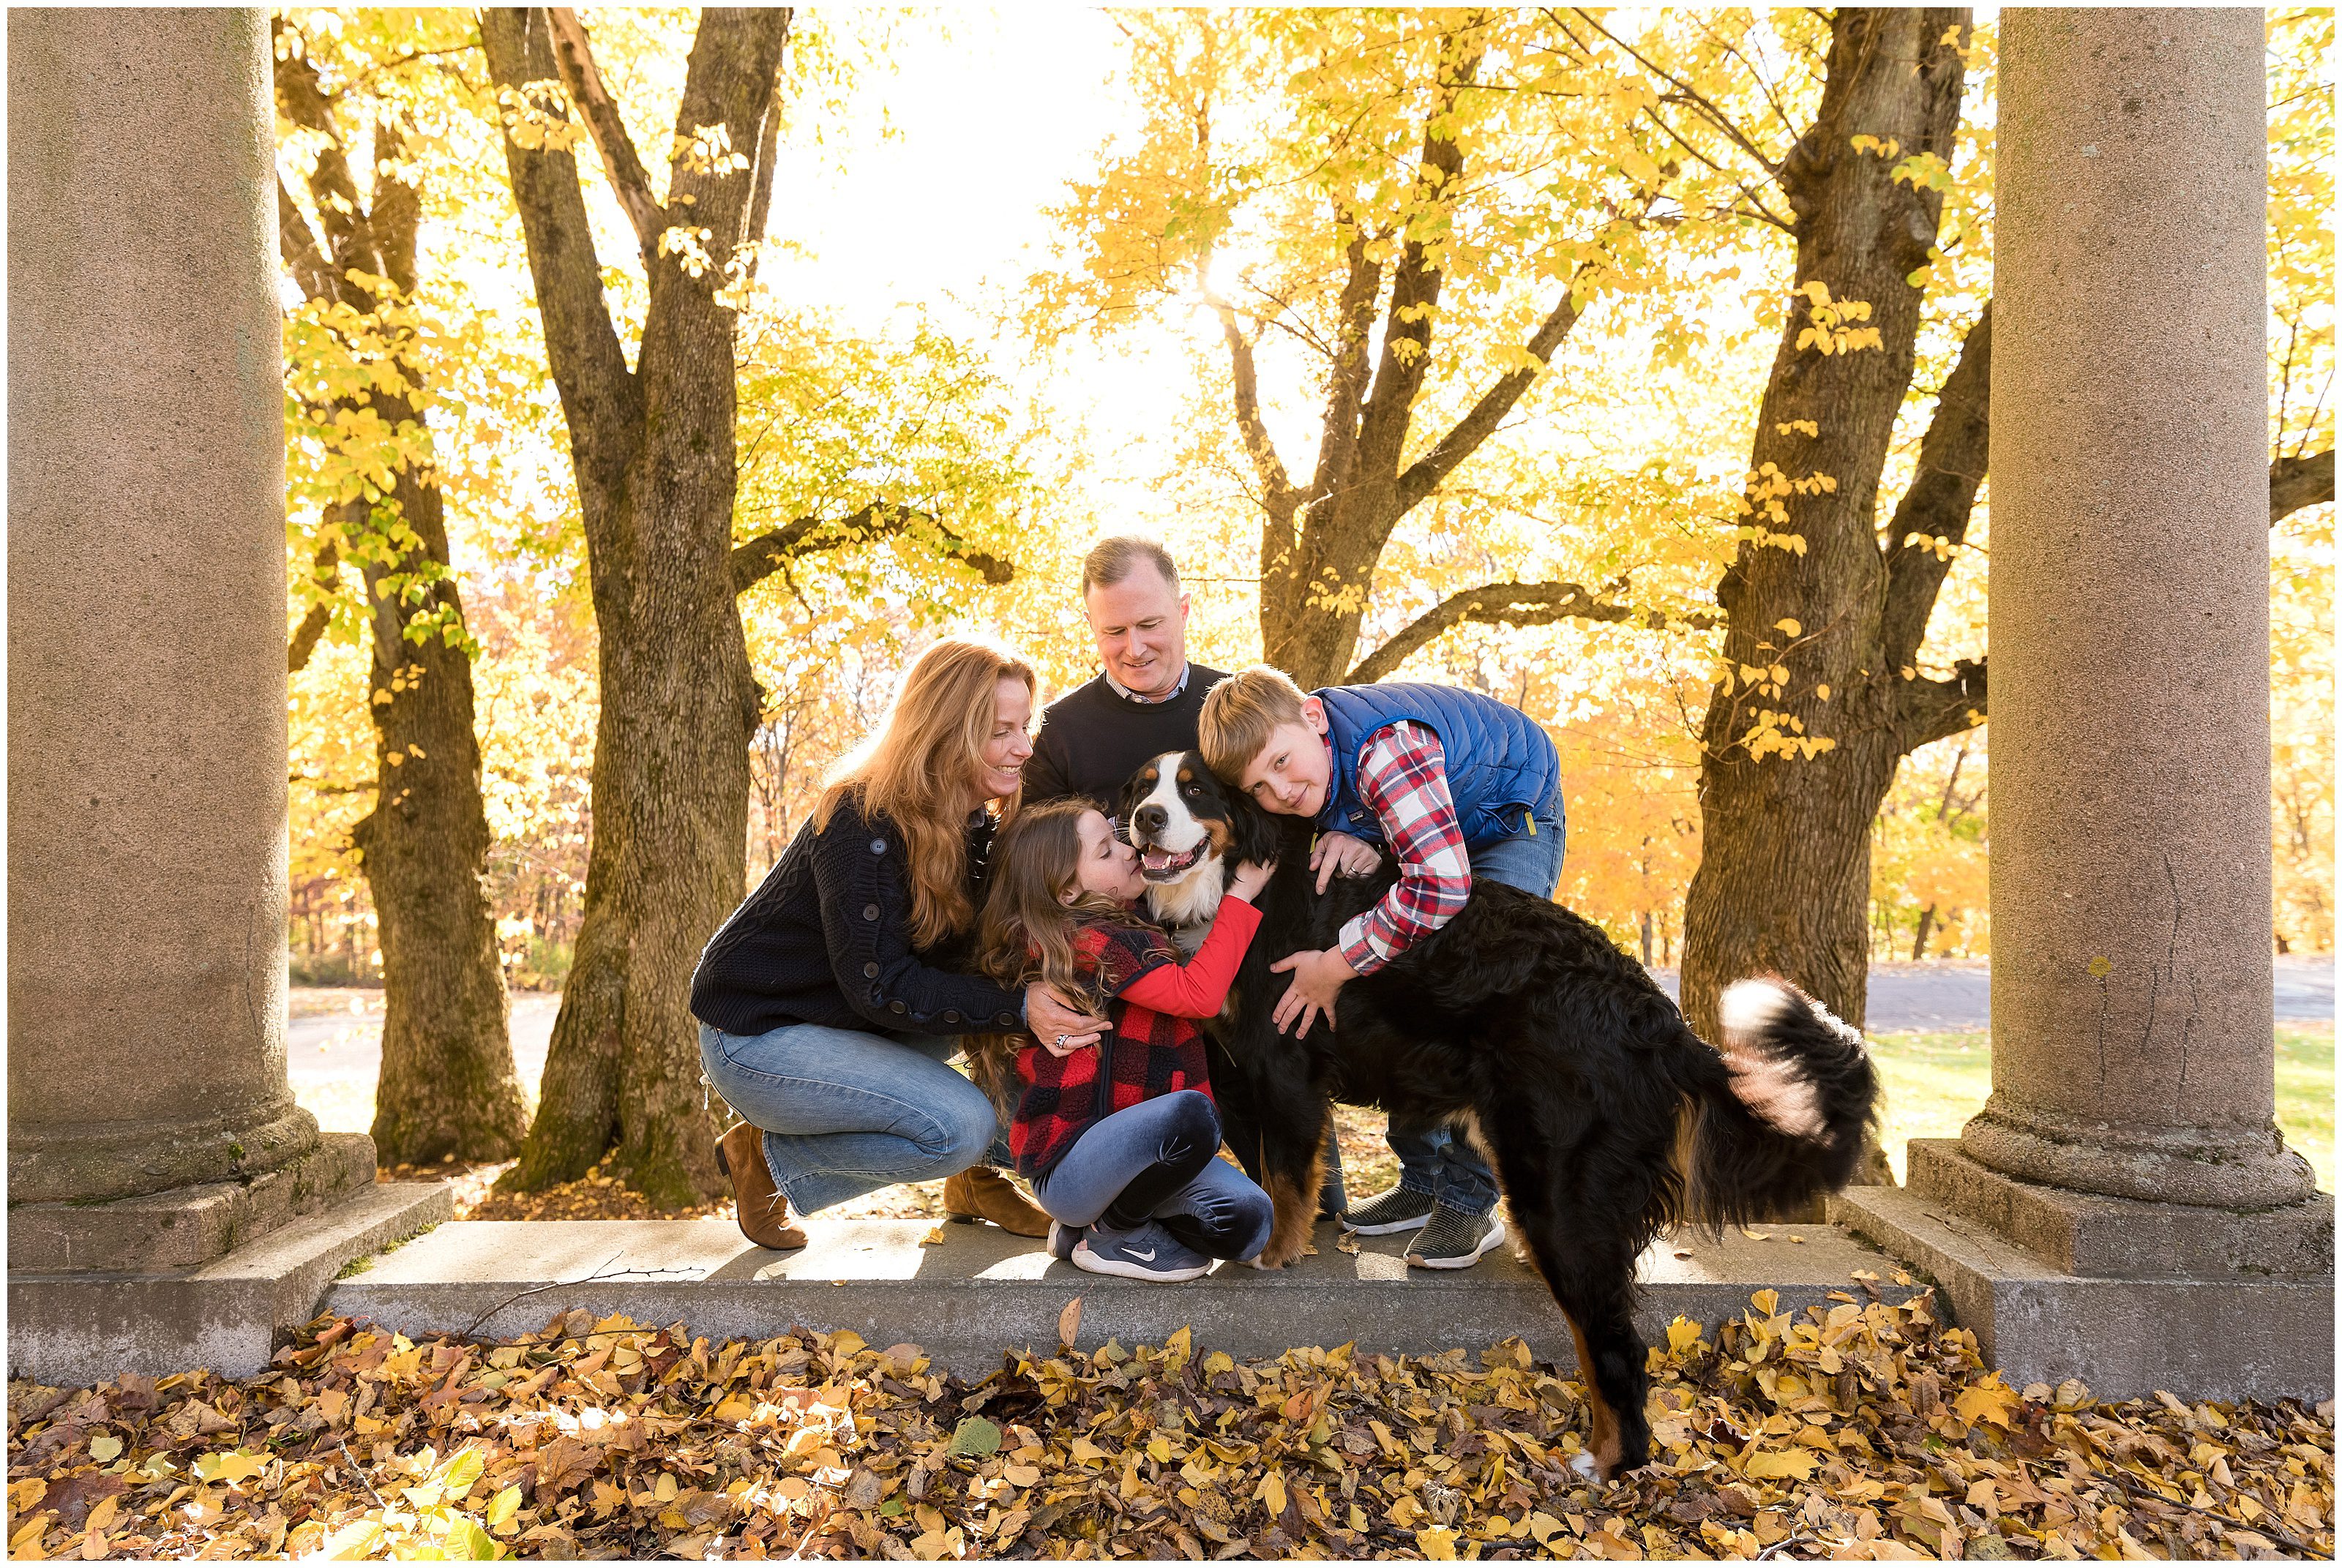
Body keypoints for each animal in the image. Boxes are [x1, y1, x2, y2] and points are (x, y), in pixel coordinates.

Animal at [1119, 753, 1882, 1479]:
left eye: (1194, 790)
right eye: (1142, 786)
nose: (1146, 819)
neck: (1233, 881)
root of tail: (1657, 1015)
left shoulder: (1284, 1063)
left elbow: (1282, 1174)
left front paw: (1276, 1250)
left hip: (1557, 1185)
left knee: (1614, 1344)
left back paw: (1608, 1461)